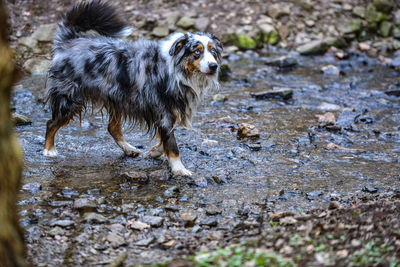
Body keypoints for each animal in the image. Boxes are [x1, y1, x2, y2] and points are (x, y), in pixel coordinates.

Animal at [43, 0, 222, 177]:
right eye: (197, 52)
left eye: (213, 51)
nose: (214, 66)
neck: (176, 69)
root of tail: (68, 42)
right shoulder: (164, 110)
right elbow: (172, 144)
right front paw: (179, 169)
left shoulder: (170, 110)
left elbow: (165, 137)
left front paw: (155, 152)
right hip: (69, 99)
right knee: (51, 123)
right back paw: (48, 150)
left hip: (117, 99)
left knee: (113, 128)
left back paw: (129, 149)